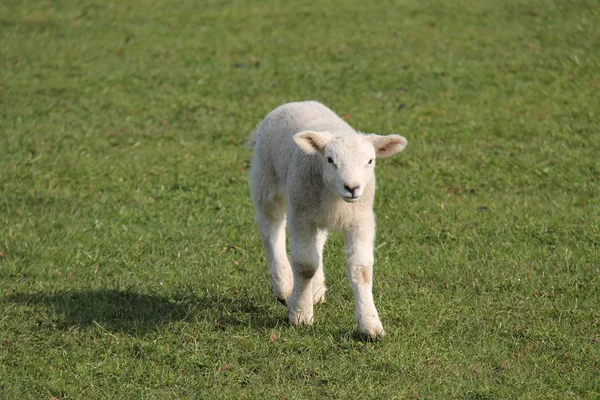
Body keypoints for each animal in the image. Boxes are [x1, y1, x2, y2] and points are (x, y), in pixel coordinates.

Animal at [246, 101, 406, 340]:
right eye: (330, 160)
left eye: (370, 161)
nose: (352, 187)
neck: (336, 198)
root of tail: (297, 103)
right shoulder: (301, 216)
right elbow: (305, 265)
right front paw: (301, 314)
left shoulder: (361, 220)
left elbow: (362, 269)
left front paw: (370, 324)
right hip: (267, 180)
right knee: (271, 229)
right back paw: (284, 286)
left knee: (318, 240)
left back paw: (317, 288)